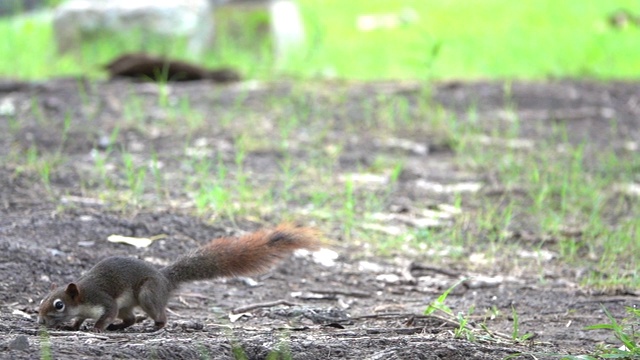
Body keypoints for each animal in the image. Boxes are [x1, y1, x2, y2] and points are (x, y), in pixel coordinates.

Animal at [37, 225, 320, 332]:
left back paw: (154, 326)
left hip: (147, 293)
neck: (82, 295)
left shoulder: (103, 299)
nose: (40, 320)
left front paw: (97, 328)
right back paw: (121, 327)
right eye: (42, 300)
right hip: (132, 302)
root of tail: (164, 279)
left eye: (58, 305)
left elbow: (107, 313)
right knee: (129, 318)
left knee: (155, 314)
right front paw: (75, 326)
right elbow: (81, 318)